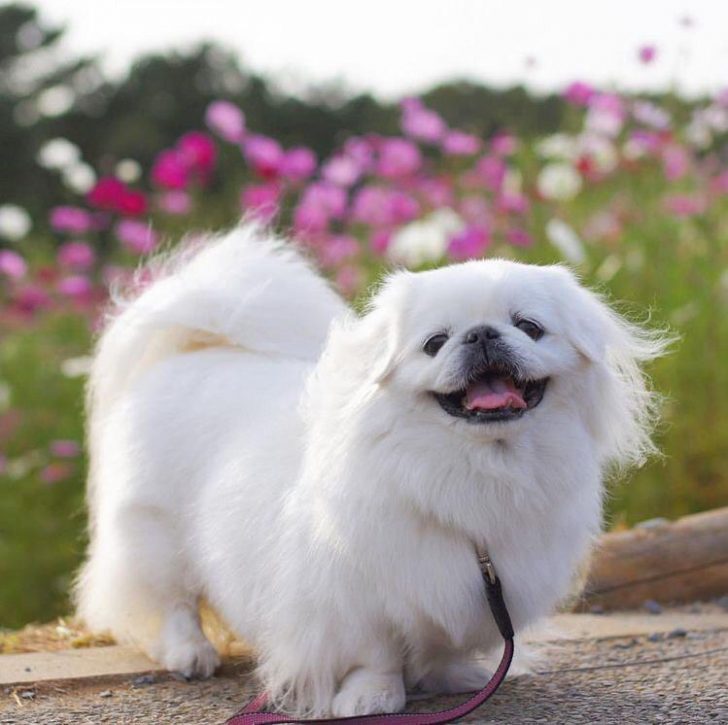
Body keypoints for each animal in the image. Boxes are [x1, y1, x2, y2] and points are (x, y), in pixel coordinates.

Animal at [77, 223, 664, 716]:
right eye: (434, 342)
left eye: (530, 327)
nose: (481, 334)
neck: (477, 466)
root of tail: (197, 344)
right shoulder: (356, 592)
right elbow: (374, 654)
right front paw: (372, 698)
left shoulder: (470, 585)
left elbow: (444, 641)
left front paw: (452, 677)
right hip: (156, 534)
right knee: (169, 600)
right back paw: (190, 654)